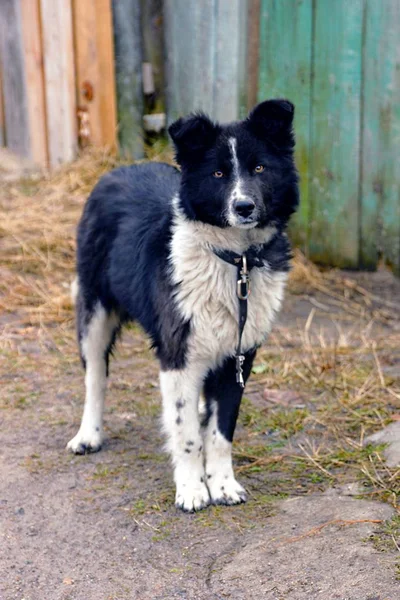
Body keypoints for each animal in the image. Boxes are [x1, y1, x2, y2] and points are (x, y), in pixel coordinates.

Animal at [67, 98, 298, 510]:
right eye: (219, 173)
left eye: (259, 168)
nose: (244, 206)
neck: (235, 261)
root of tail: (119, 169)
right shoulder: (178, 356)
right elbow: (187, 434)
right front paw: (192, 488)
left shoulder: (239, 356)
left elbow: (220, 433)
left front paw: (222, 484)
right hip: (94, 313)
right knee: (95, 376)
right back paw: (88, 434)